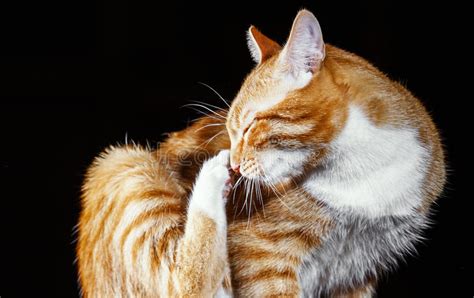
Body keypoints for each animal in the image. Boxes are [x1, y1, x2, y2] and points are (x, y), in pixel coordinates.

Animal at [77, 9, 444, 298]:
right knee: (187, 283)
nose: (235, 162)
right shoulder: (260, 257)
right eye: (229, 131)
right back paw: (211, 175)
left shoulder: (355, 276)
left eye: (250, 125)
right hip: (123, 163)